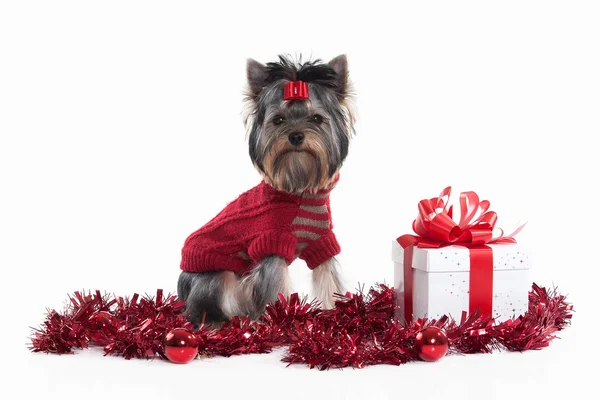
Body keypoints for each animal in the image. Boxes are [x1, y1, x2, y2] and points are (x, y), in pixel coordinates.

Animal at [178, 54, 356, 326]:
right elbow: (276, 287)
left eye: (317, 118)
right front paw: (283, 321)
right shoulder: (271, 243)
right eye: (278, 120)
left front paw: (335, 316)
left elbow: (328, 279)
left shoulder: (322, 242)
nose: (296, 136)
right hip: (219, 275)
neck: (300, 189)